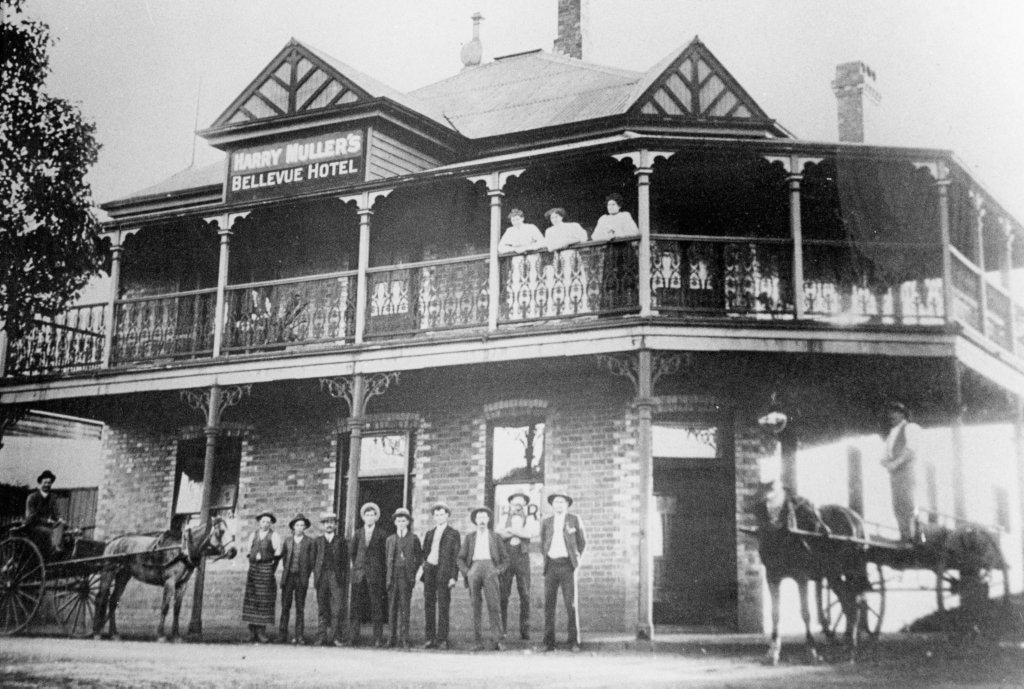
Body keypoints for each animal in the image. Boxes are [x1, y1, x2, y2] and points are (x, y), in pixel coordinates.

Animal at [91, 515, 235, 638]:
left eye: (232, 533)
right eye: (221, 531)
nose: (233, 551)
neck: (182, 549)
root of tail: (111, 542)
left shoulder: (182, 584)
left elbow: (177, 609)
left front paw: (176, 635)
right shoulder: (169, 582)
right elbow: (165, 607)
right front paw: (161, 635)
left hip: (123, 576)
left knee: (113, 601)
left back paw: (114, 633)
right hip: (108, 572)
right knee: (100, 598)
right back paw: (96, 632)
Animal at [749, 481, 868, 663]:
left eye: (779, 495)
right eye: (759, 494)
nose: (761, 509)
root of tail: (856, 518)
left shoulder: (801, 577)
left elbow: (805, 612)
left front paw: (811, 649)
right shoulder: (772, 577)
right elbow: (775, 613)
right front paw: (773, 651)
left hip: (853, 569)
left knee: (857, 601)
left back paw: (852, 648)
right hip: (833, 573)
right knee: (848, 602)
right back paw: (847, 647)